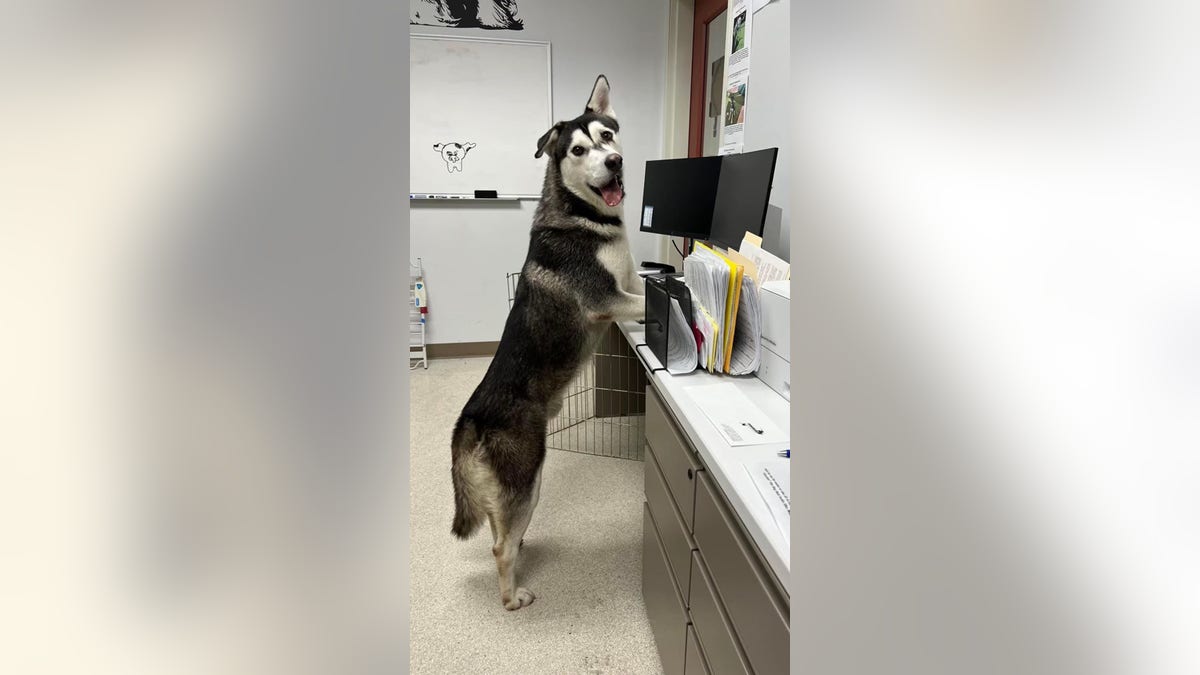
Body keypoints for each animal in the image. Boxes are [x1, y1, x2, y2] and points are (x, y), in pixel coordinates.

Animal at [451, 74, 643, 610]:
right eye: (578, 149)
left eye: (607, 136)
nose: (614, 162)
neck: (586, 215)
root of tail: (470, 419)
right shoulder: (607, 299)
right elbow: (649, 303)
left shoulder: (628, 285)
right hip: (528, 480)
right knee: (499, 546)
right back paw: (512, 597)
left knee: (502, 532)